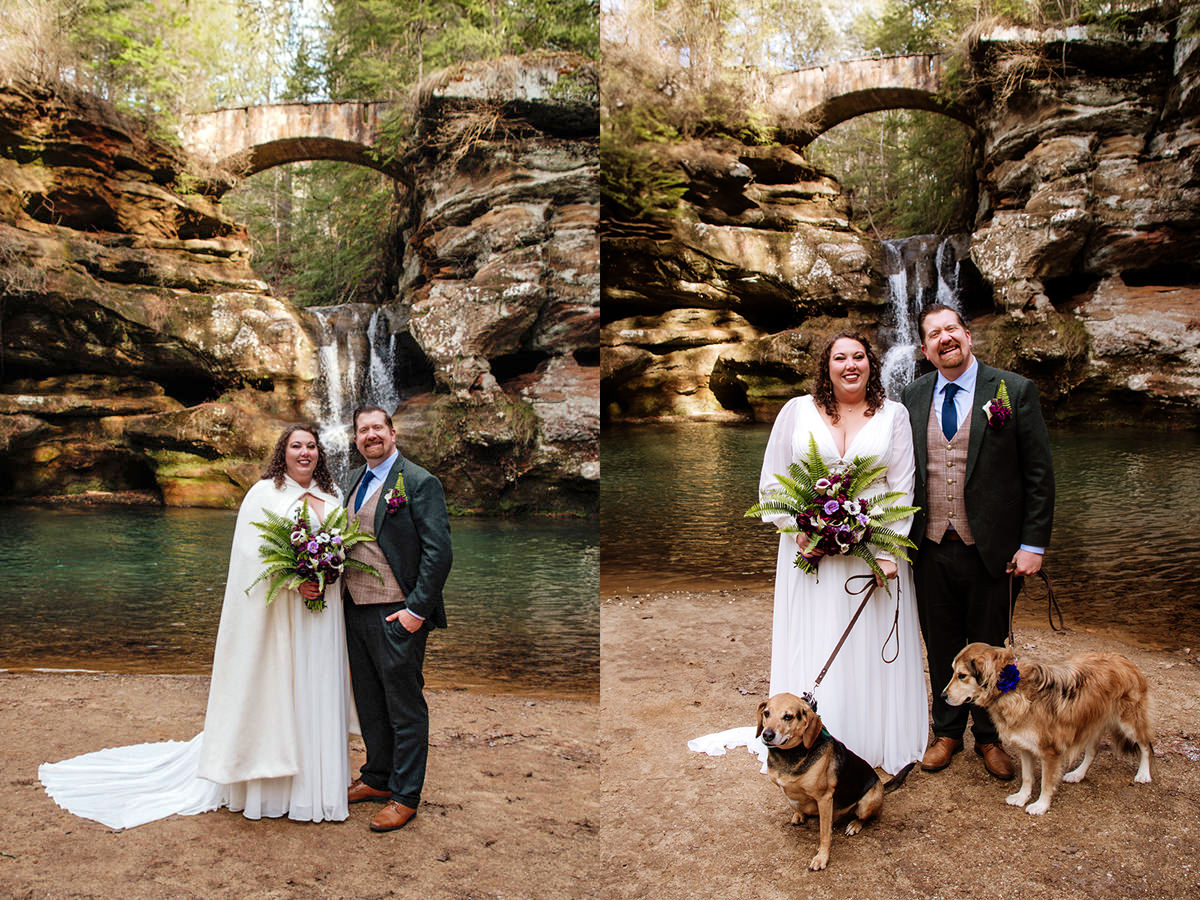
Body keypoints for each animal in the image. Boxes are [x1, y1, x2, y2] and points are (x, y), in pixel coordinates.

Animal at [753, 696, 912, 868]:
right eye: (766, 713)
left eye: (788, 716)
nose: (767, 735)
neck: (790, 755)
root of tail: (881, 784)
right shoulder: (786, 789)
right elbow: (794, 804)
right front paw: (799, 814)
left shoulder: (824, 799)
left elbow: (824, 834)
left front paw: (822, 858)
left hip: (867, 802)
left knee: (865, 817)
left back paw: (854, 825)